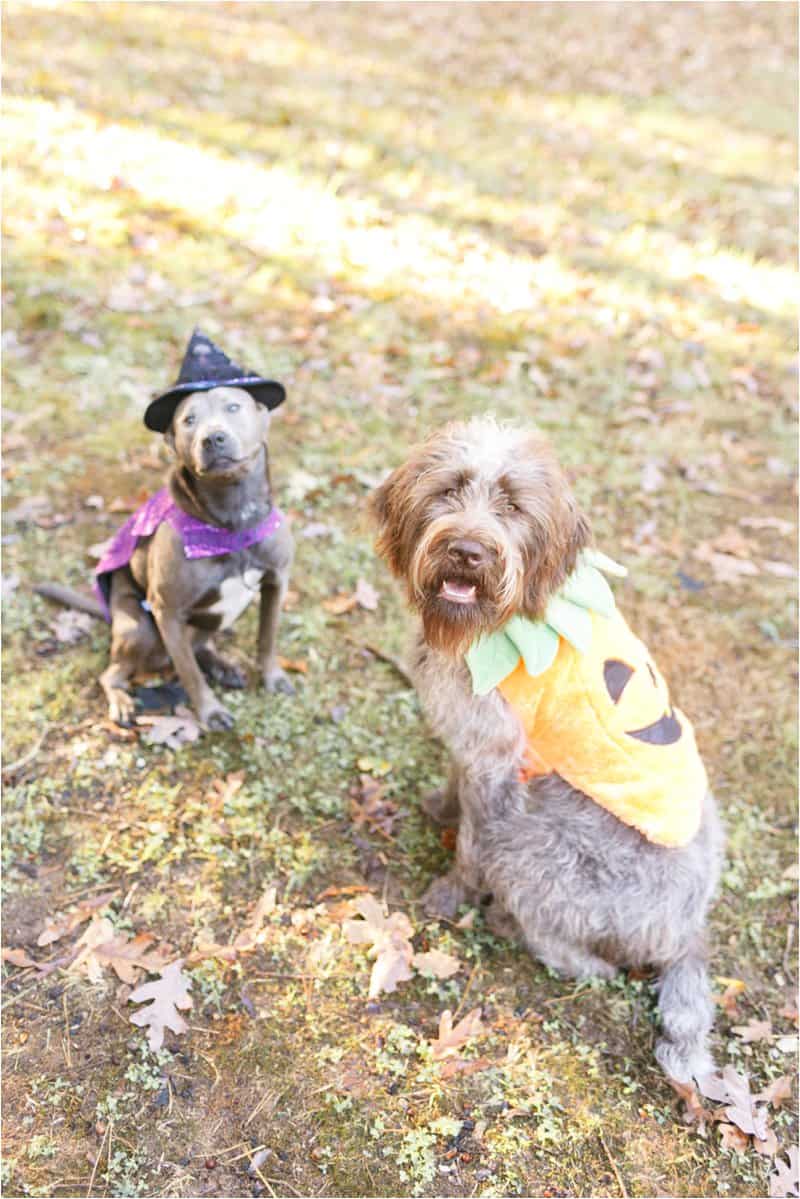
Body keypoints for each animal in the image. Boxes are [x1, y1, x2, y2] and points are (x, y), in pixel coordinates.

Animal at [371, 417, 724, 1083]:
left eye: (512, 505)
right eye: (449, 489)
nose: (468, 551)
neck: (490, 624)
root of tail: (686, 932)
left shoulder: (495, 765)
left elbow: (473, 844)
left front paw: (449, 894)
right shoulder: (473, 740)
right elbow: (455, 785)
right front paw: (439, 806)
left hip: (541, 845)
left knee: (571, 948)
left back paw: (513, 923)